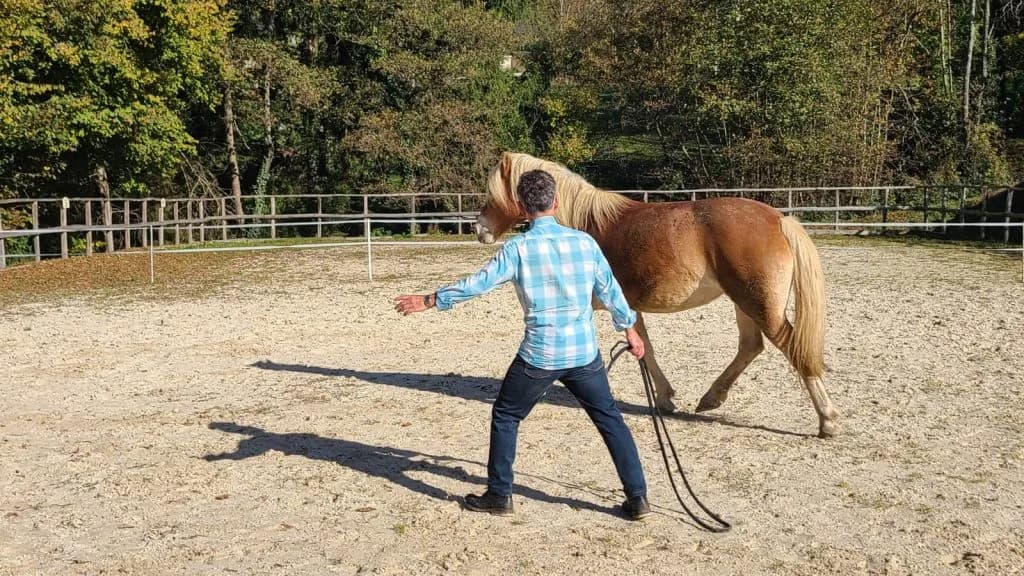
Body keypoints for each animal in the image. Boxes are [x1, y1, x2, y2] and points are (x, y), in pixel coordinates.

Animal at [474, 152, 840, 438]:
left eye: (493, 193)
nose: (479, 229)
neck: (584, 225)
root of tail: (779, 218)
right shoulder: (629, 308)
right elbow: (645, 350)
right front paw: (665, 398)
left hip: (759, 304)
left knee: (794, 348)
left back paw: (827, 420)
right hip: (744, 303)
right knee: (751, 347)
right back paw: (710, 399)